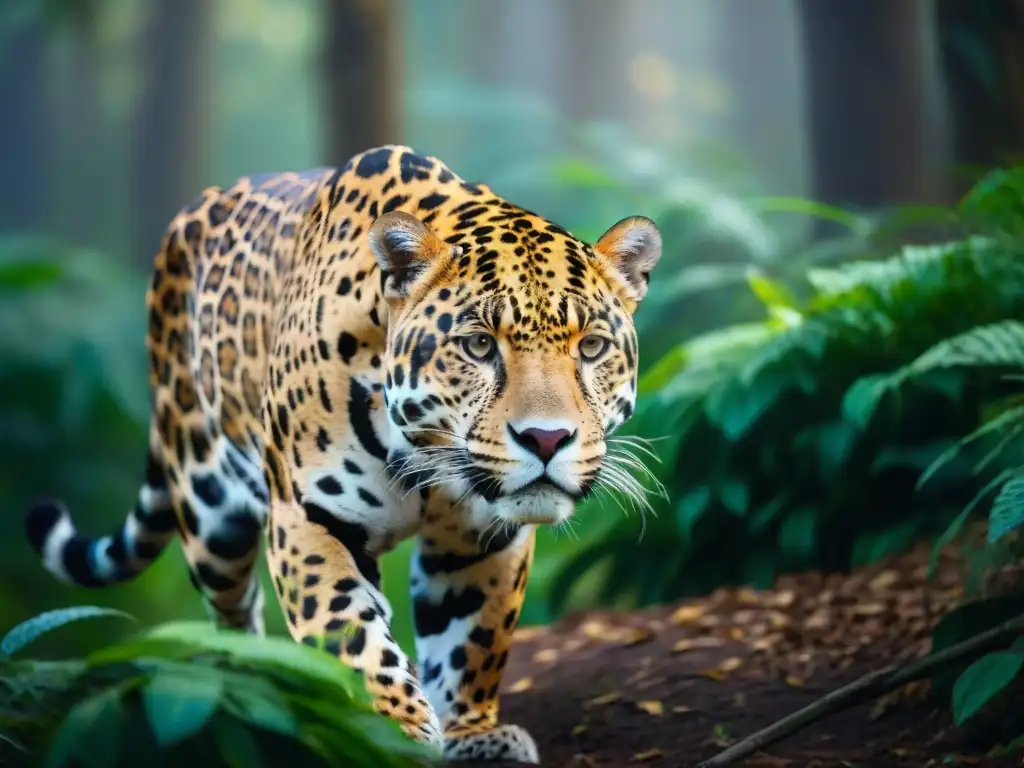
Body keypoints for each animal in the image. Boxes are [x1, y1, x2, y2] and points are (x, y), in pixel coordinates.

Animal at [25, 145, 662, 763]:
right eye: (479, 345)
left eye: (592, 347)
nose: (547, 439)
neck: (426, 454)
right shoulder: (310, 516)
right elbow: (349, 631)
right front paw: (394, 734)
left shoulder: (482, 536)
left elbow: (472, 640)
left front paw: (471, 736)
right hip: (209, 513)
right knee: (231, 616)